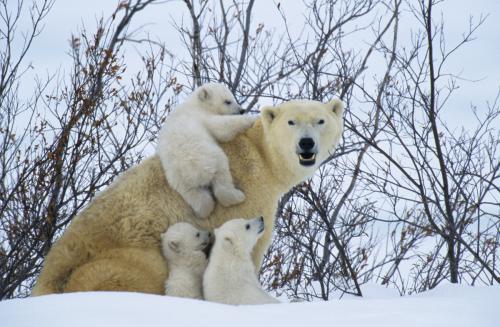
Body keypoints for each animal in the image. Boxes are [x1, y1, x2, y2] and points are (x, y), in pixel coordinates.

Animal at [31, 98, 344, 296]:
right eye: (291, 122)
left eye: (320, 120)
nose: (306, 144)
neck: (262, 158)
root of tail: (45, 280)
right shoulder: (249, 195)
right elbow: (250, 246)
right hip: (121, 260)